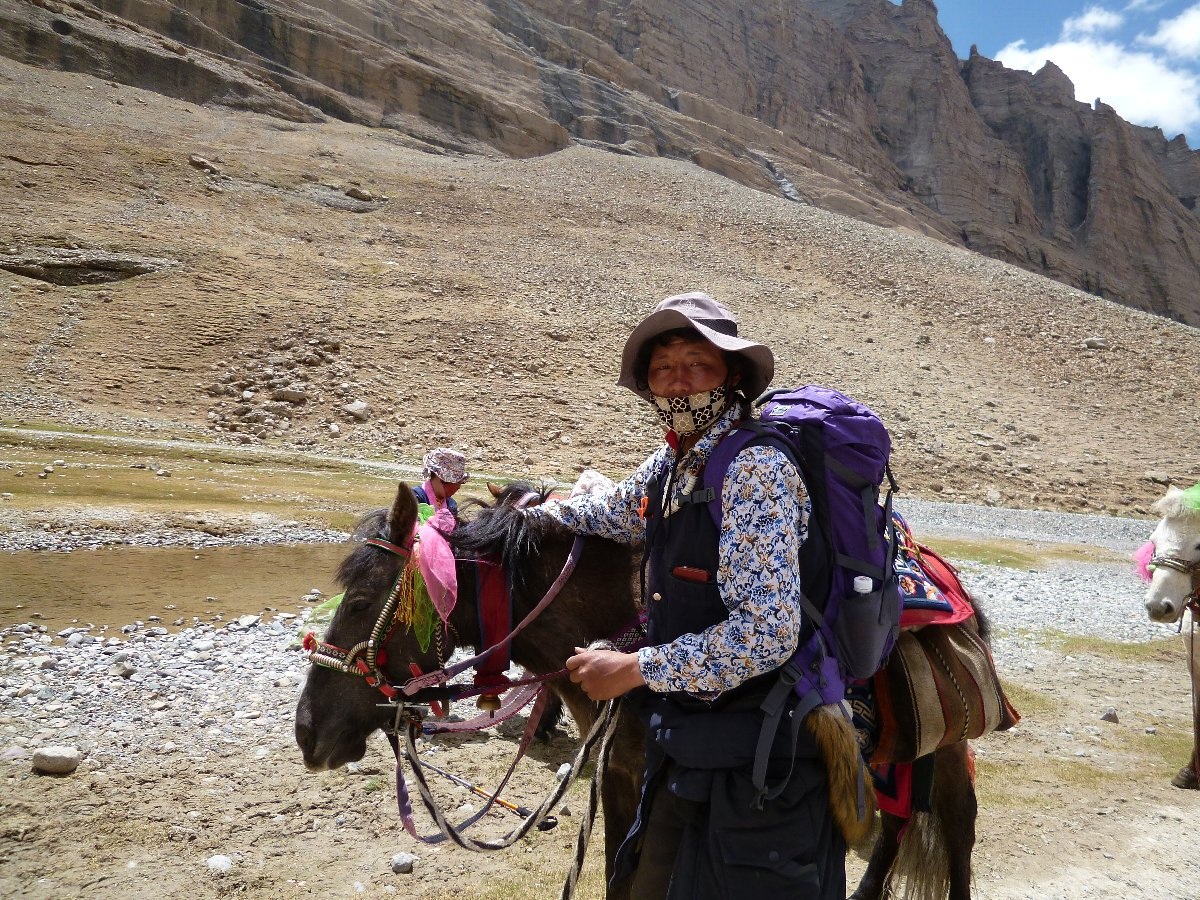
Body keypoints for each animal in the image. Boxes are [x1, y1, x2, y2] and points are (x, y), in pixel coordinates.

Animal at [297, 487, 984, 900]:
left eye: (360, 602)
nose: (308, 732)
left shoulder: (670, 793)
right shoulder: (619, 777)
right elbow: (614, 881)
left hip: (944, 749)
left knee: (955, 829)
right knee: (896, 826)